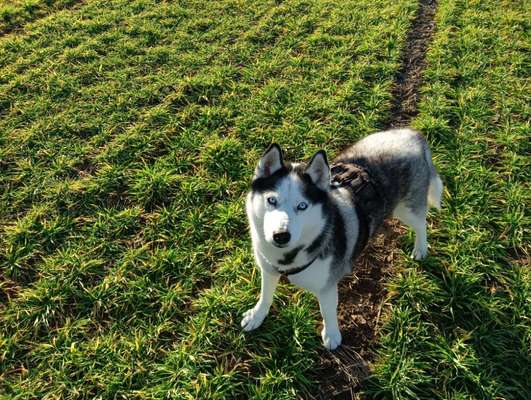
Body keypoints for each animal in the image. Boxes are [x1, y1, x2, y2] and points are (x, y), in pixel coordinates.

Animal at [243, 129, 442, 350]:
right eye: (271, 200)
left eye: (302, 206)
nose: (281, 236)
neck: (287, 258)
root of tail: (412, 134)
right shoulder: (268, 270)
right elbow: (265, 295)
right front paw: (257, 315)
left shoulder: (327, 286)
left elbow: (327, 311)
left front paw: (331, 334)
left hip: (406, 210)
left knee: (421, 223)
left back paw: (421, 248)